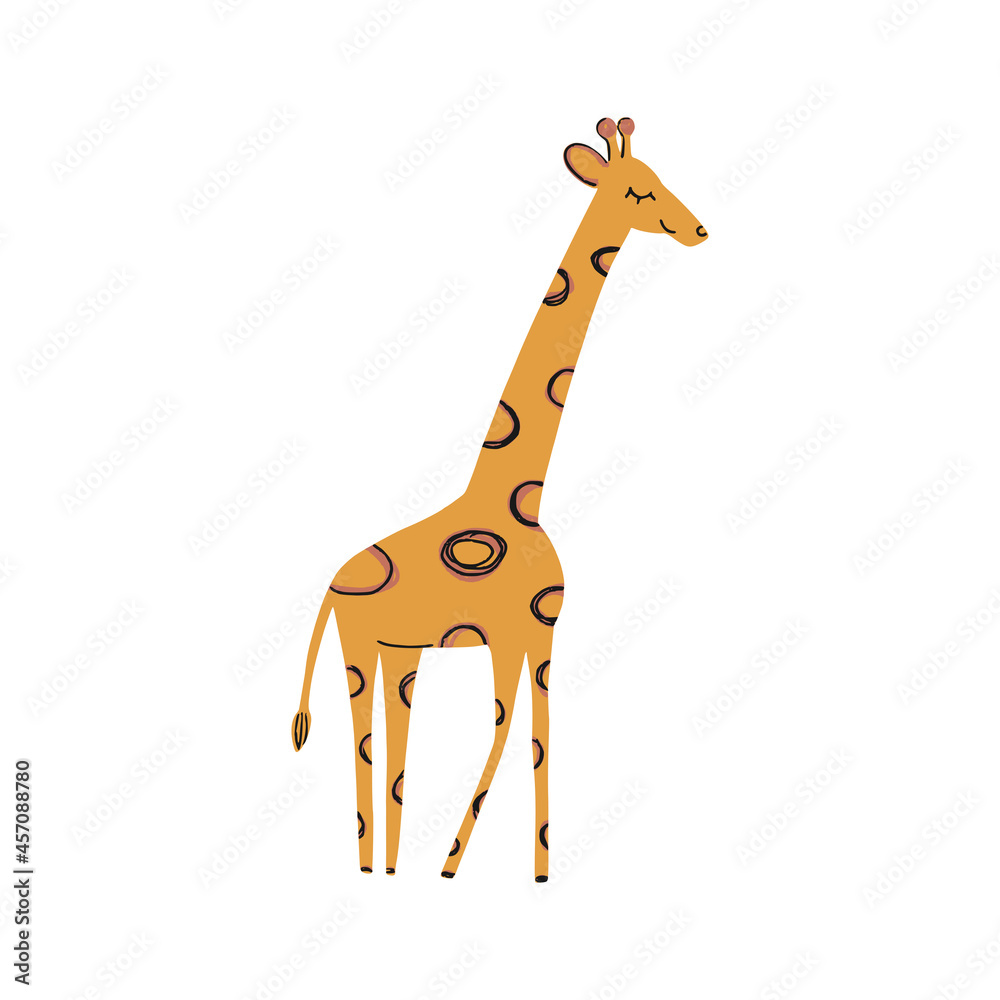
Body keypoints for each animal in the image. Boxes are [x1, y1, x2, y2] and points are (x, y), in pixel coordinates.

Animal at [292, 117, 708, 881]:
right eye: (639, 189)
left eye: (661, 178)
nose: (697, 228)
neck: (517, 498)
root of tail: (331, 587)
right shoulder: (514, 631)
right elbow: (514, 732)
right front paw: (457, 865)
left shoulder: (536, 633)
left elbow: (533, 735)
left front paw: (529, 869)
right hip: (361, 644)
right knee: (364, 741)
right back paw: (374, 866)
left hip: (401, 650)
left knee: (394, 742)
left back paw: (386, 865)